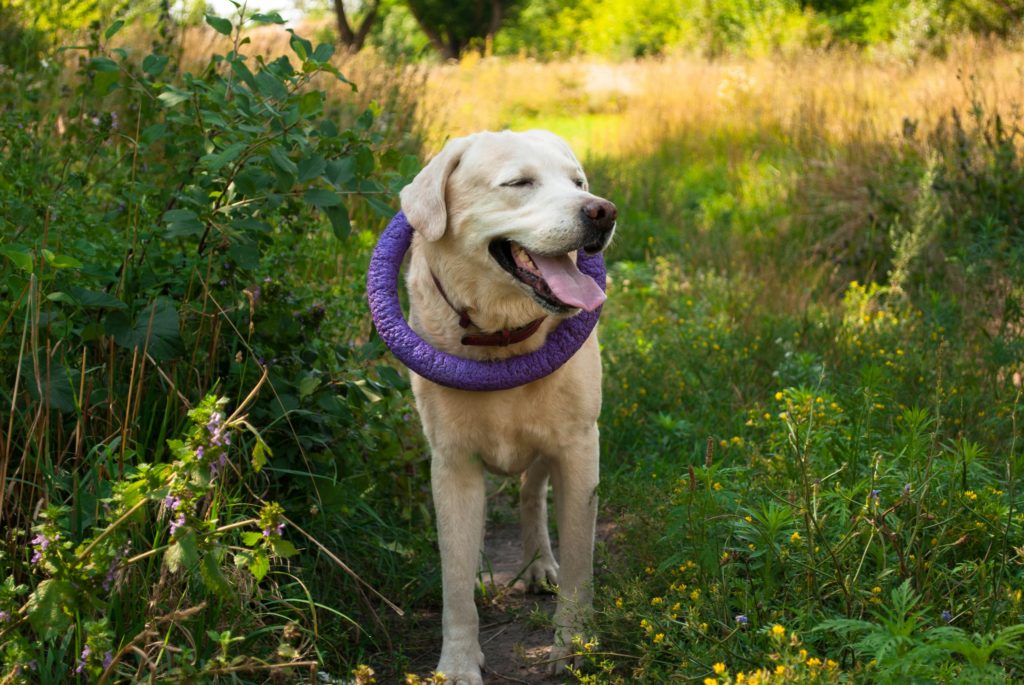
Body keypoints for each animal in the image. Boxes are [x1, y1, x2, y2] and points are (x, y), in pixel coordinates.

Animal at [399, 129, 614, 683]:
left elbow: (579, 557)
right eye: (519, 183)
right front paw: (456, 663)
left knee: (530, 494)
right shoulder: (452, 462)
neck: (502, 336)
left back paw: (539, 565)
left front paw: (574, 643)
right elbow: (453, 574)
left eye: (578, 182)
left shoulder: (579, 449)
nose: (602, 211)